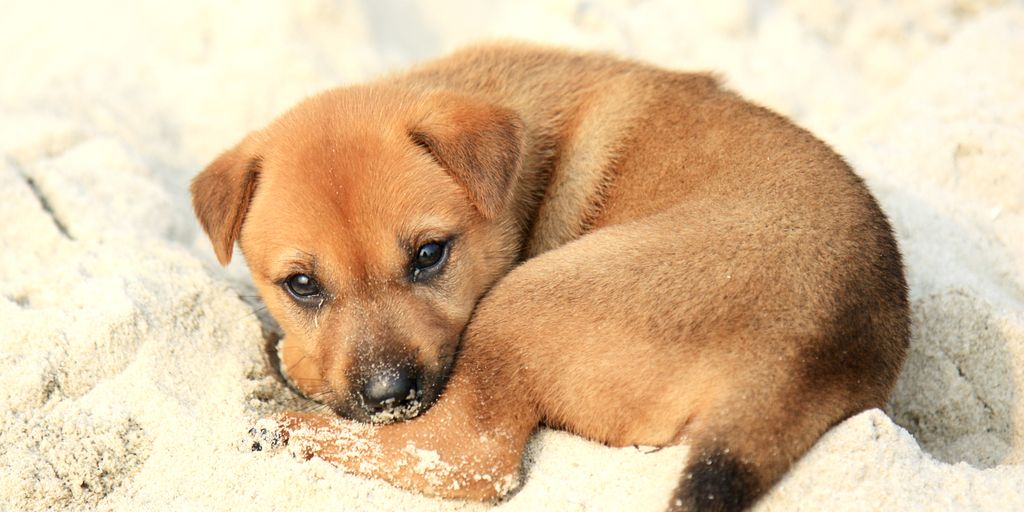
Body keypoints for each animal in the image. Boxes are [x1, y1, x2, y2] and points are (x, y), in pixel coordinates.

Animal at [188, 44, 909, 512]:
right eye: (302, 286)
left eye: (430, 254)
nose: (389, 395)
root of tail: (800, 356)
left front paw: (298, 368)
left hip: (525, 301)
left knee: (461, 458)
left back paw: (288, 425)